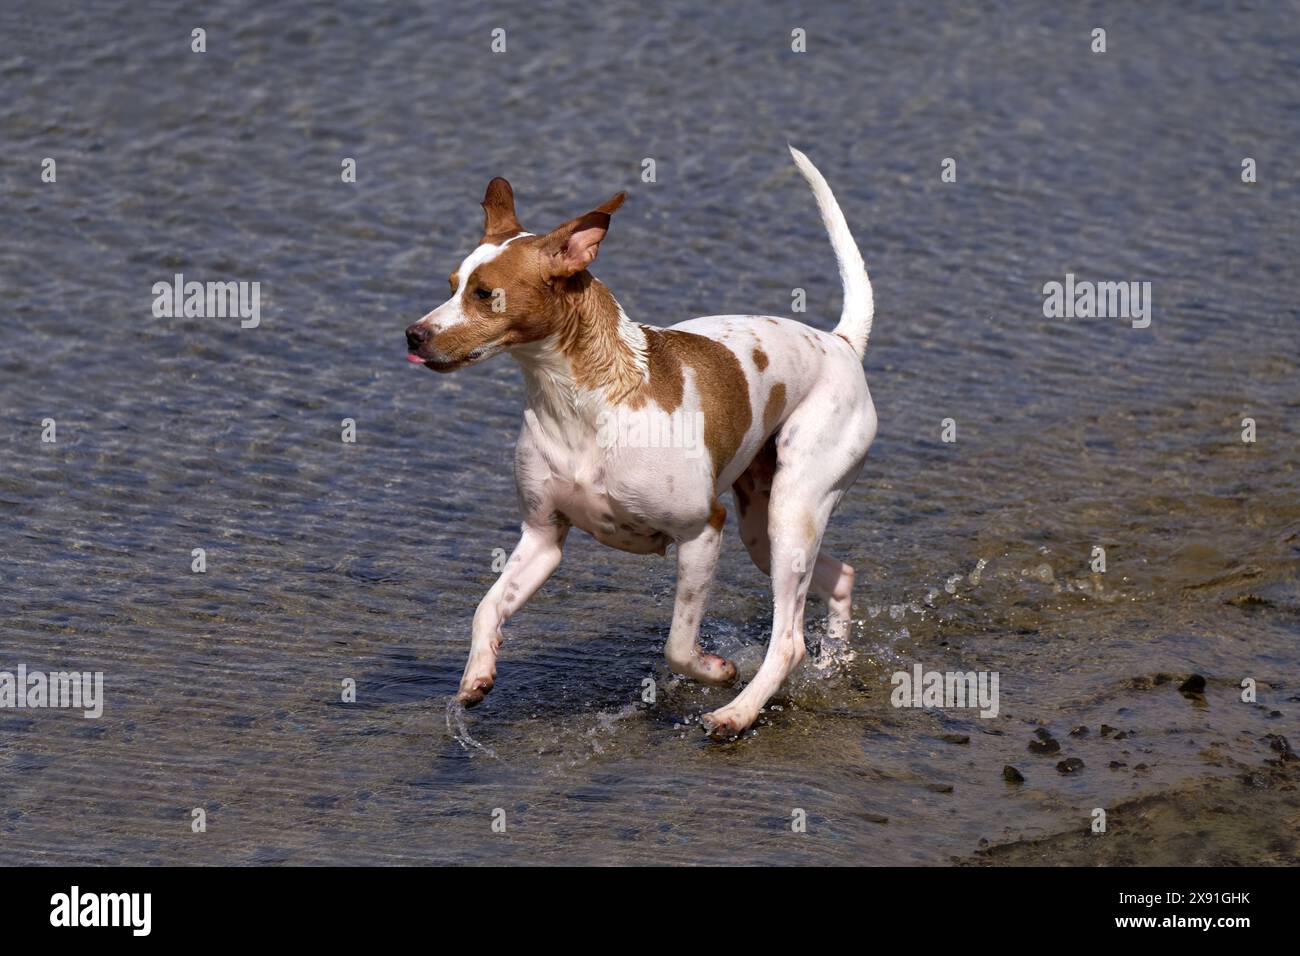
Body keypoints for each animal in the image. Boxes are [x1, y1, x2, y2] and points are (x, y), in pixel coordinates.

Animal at [405, 147, 873, 738]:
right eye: (451, 284)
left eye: (485, 294)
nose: (413, 334)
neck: (583, 405)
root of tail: (839, 344)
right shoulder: (542, 538)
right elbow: (487, 607)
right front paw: (477, 675)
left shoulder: (703, 530)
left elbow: (678, 645)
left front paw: (717, 672)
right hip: (764, 530)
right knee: (839, 579)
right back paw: (834, 665)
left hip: (792, 511)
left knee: (787, 640)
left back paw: (737, 712)